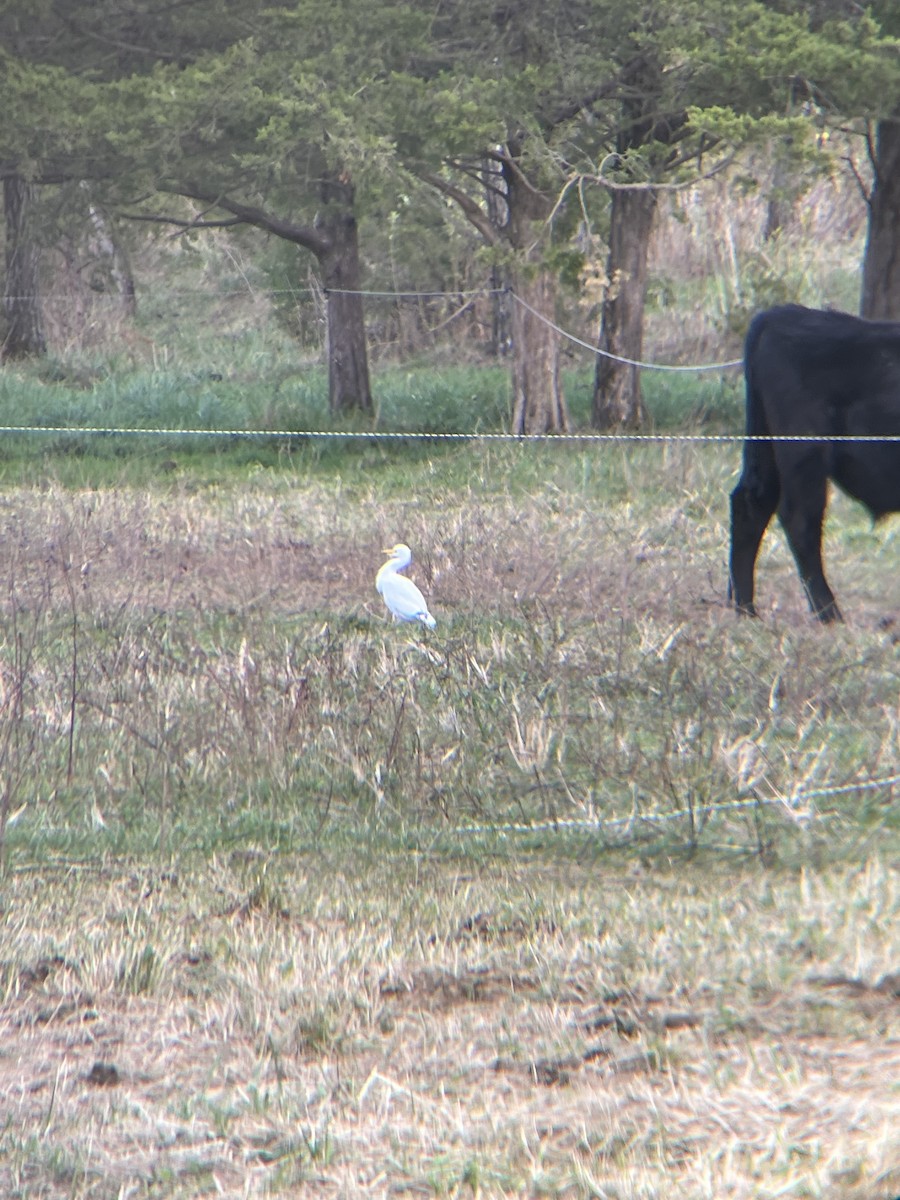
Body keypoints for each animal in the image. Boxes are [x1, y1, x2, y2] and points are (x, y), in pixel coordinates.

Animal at [729, 304, 900, 622]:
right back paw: (829, 614)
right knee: (800, 520)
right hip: (804, 453)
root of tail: (782, 314)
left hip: (766, 448)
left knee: (751, 503)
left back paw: (744, 609)